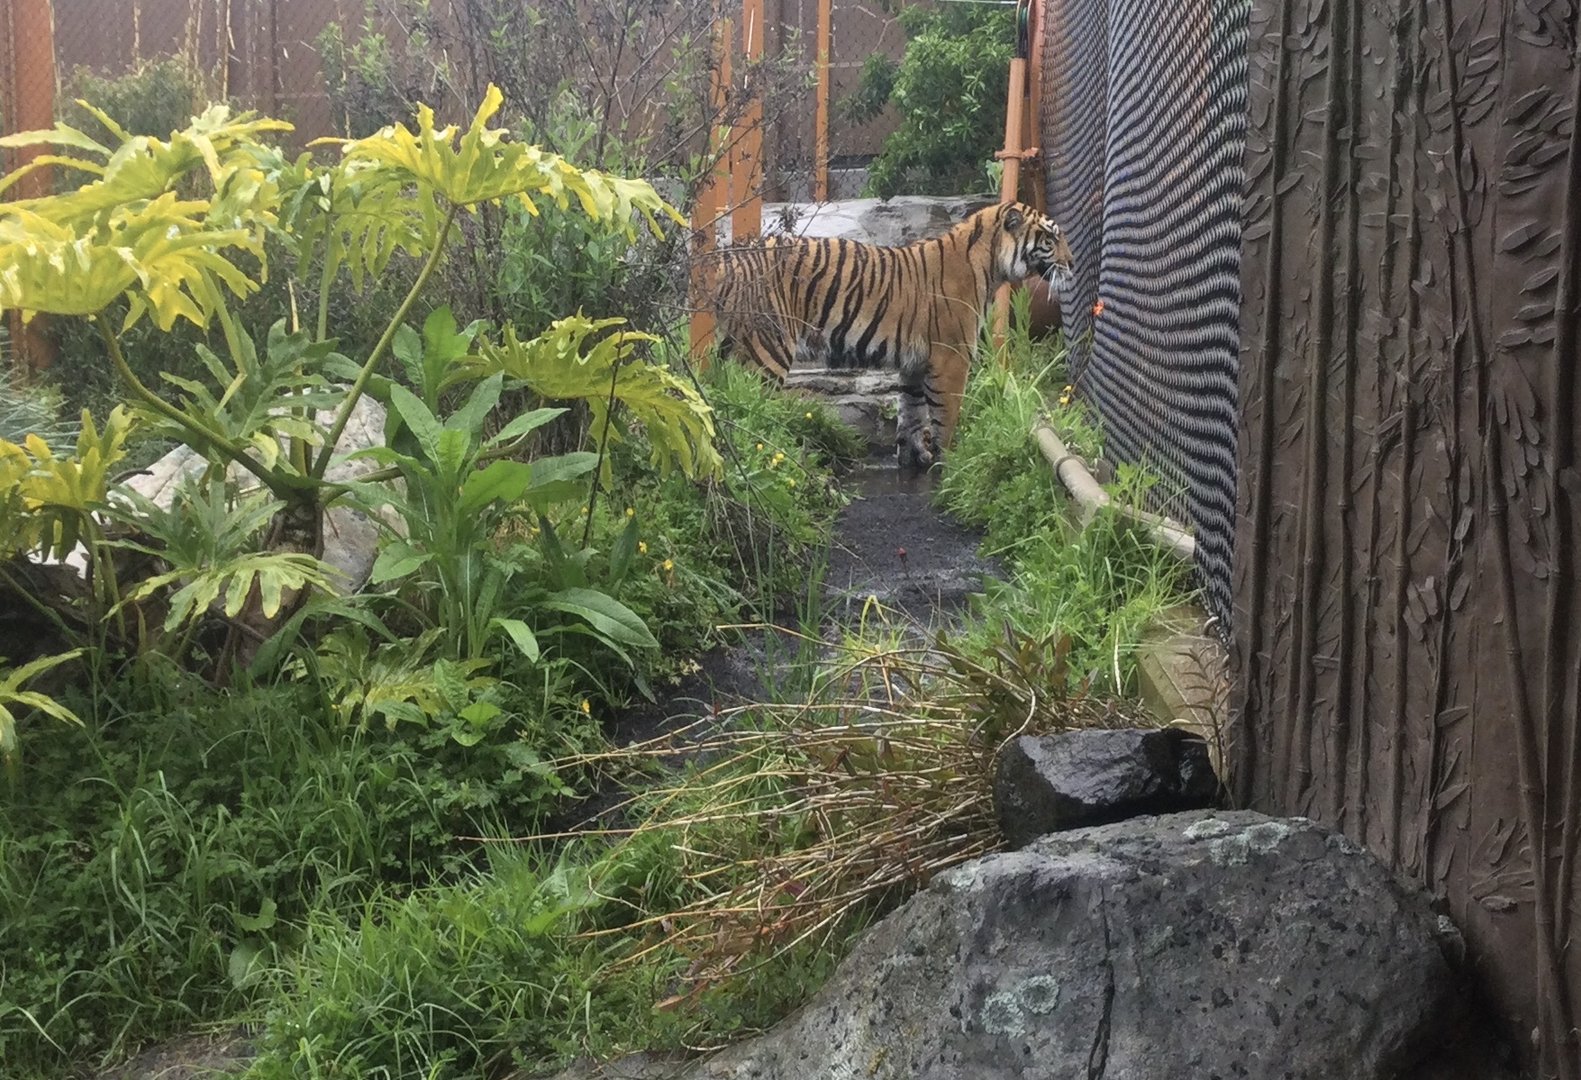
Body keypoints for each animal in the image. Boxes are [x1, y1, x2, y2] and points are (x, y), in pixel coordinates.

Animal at [711, 201, 1074, 471]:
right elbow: (946, 413)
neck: (990, 263)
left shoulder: (915, 363)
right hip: (767, 351)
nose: (1071, 263)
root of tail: (729, 261)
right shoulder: (952, 357)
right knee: (750, 410)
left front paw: (914, 456)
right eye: (1050, 238)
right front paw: (951, 461)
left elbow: (911, 412)